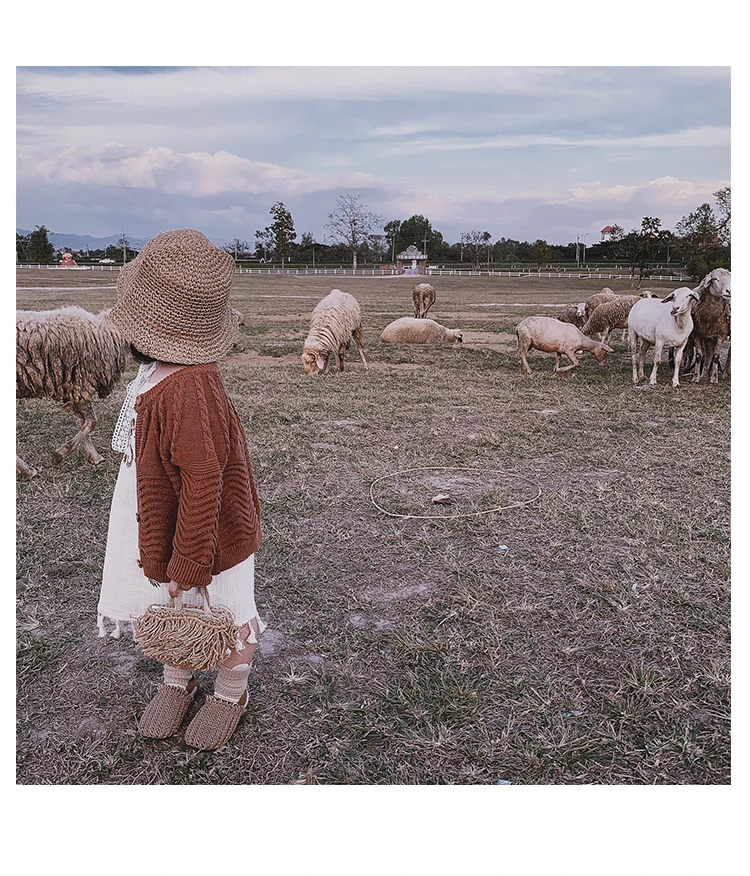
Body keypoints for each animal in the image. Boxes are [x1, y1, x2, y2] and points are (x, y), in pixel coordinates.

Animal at [16, 302, 131, 480]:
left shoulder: (74, 388)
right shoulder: (79, 383)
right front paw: (60, 454)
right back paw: (28, 470)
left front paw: (93, 456)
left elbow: (82, 422)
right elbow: (91, 422)